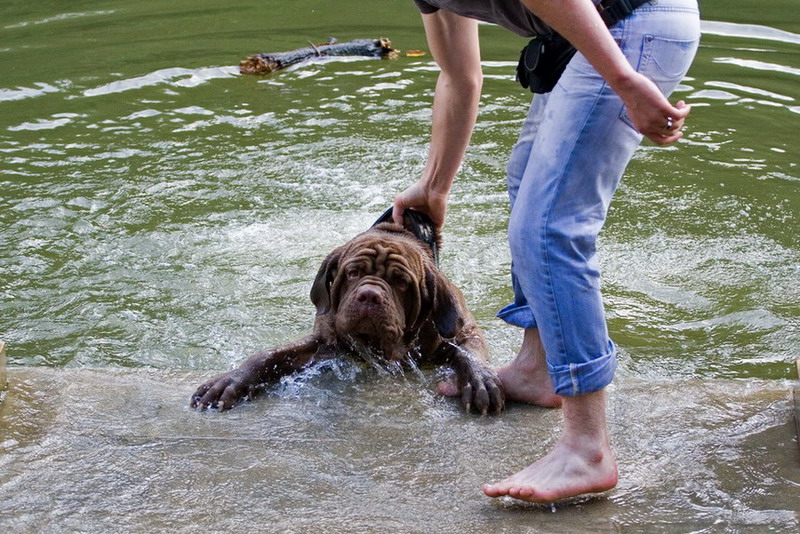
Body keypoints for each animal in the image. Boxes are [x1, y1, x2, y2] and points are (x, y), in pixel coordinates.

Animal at [191, 216, 504, 416]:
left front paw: (480, 380)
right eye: (353, 273)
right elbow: (270, 355)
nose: (370, 295)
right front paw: (229, 382)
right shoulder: (323, 341)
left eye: (401, 281)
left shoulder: (463, 332)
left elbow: (467, 353)